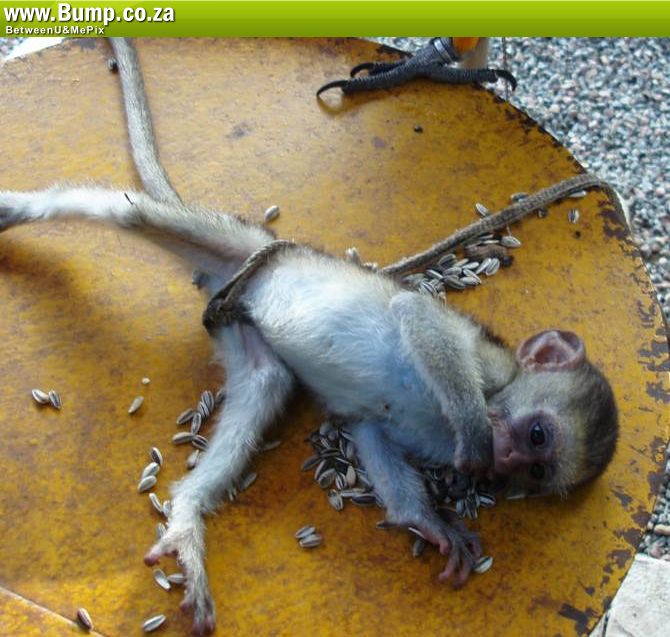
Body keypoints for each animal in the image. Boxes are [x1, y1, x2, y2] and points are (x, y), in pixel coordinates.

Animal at [0, 39, 618, 636]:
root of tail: (242, 272)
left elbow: (370, 430)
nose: (508, 457)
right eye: (536, 435)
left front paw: (429, 522)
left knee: (267, 381)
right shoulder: (483, 366)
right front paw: (470, 434)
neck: (495, 395)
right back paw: (23, 208)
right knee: (130, 216)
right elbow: (414, 312)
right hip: (238, 243)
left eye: (536, 471)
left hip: (239, 323)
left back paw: (187, 520)